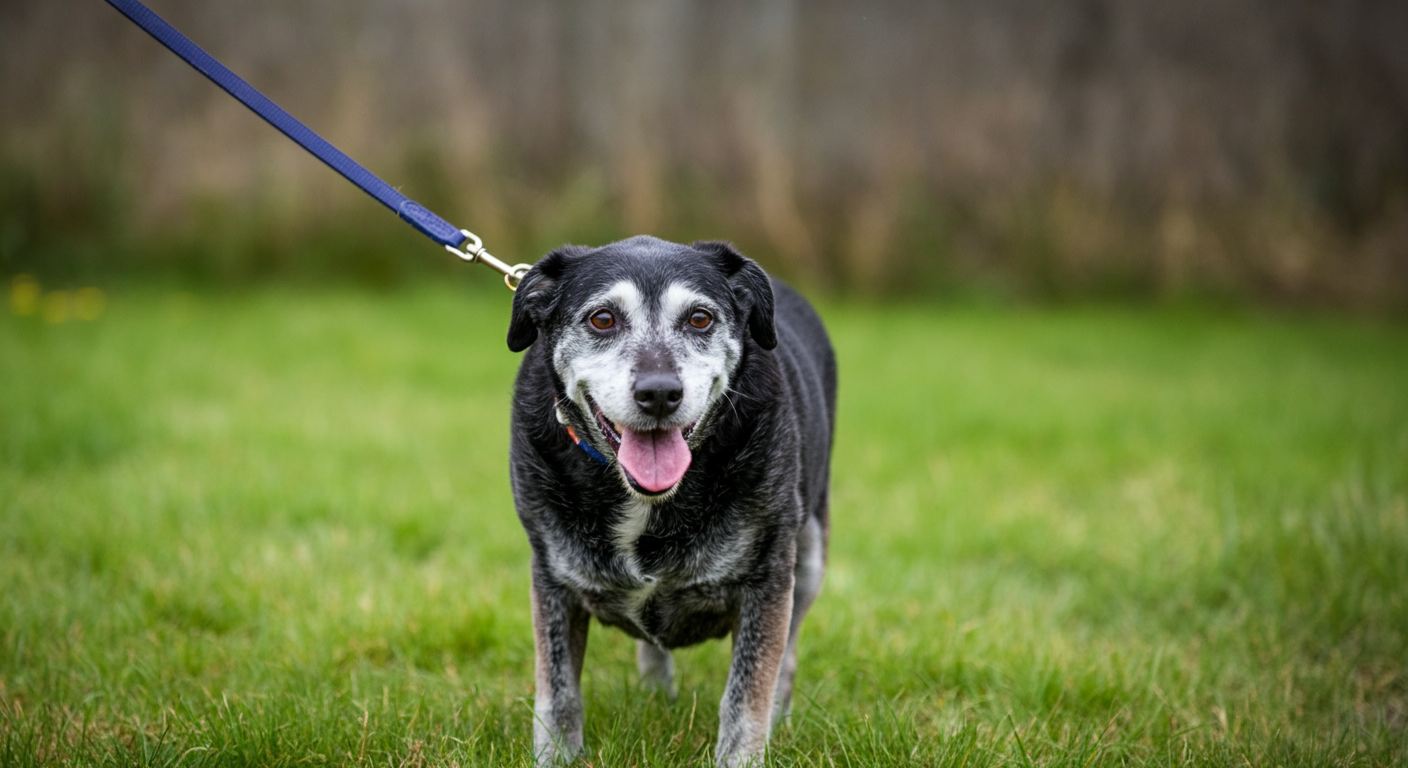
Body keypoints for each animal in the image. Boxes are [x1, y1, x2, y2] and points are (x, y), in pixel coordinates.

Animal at [506, 236, 833, 760]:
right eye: (603, 319)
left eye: (699, 318)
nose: (659, 393)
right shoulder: (552, 577)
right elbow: (557, 694)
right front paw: (557, 758)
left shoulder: (769, 578)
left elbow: (747, 698)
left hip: (812, 555)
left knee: (786, 659)